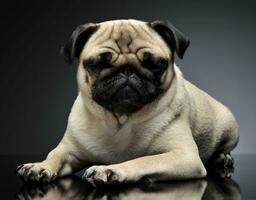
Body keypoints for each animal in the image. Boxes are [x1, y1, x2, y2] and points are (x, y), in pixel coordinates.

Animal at [17, 18, 239, 186]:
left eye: (155, 64)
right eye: (97, 64)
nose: (127, 71)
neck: (122, 119)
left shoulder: (183, 155)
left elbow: (143, 161)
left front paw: (110, 170)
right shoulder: (69, 150)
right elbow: (54, 155)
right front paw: (39, 166)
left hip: (230, 126)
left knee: (223, 147)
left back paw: (222, 158)